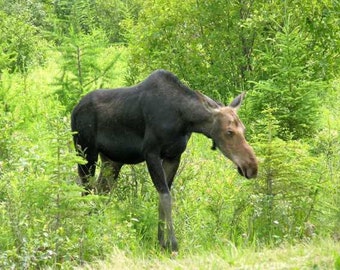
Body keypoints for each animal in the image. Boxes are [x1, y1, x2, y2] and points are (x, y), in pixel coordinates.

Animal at [71, 69, 258, 251]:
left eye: (243, 128)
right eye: (229, 131)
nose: (252, 166)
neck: (184, 120)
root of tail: (75, 109)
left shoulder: (173, 156)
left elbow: (162, 197)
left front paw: (161, 242)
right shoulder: (151, 153)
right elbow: (166, 196)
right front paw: (172, 244)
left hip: (112, 160)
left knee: (101, 191)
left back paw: (99, 227)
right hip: (86, 153)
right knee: (86, 190)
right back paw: (85, 228)